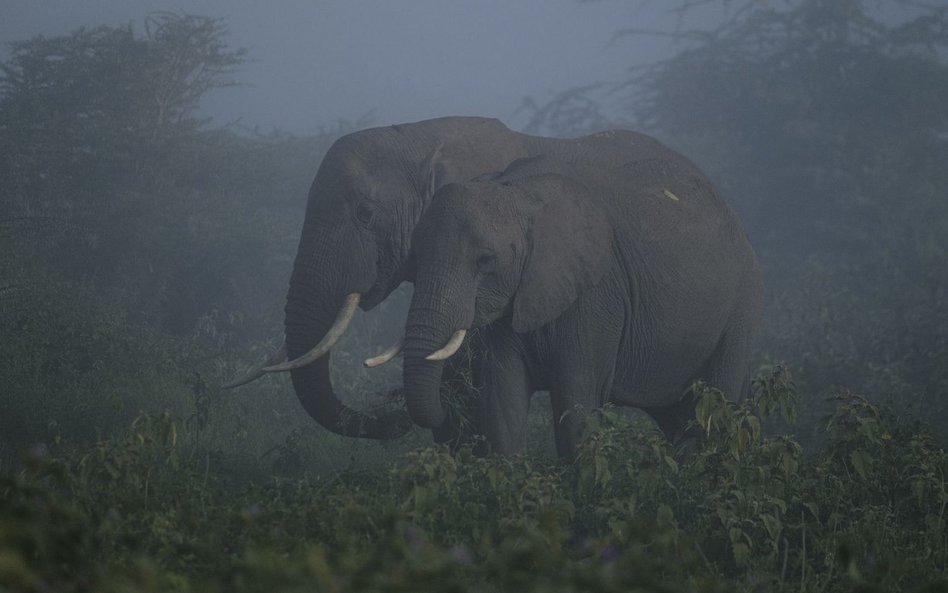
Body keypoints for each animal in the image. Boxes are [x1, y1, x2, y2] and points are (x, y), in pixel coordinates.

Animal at [400, 155, 764, 456]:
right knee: (679, 415)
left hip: (742, 304)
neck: (516, 190)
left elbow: (577, 402)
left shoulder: (597, 295)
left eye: (485, 260)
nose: (449, 410)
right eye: (414, 258)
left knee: (720, 405)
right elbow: (503, 404)